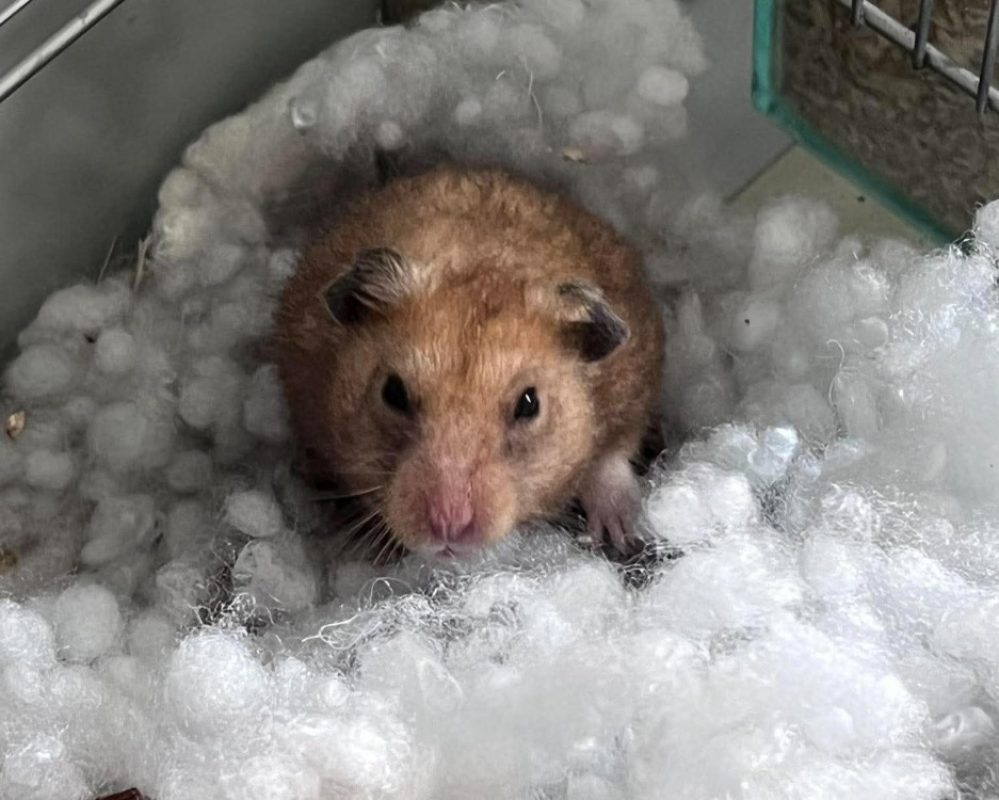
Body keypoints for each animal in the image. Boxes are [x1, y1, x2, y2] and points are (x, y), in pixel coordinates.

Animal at [274, 165, 664, 558]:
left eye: (530, 404)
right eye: (392, 393)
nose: (449, 525)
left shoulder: (636, 378)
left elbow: (611, 457)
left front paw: (618, 534)